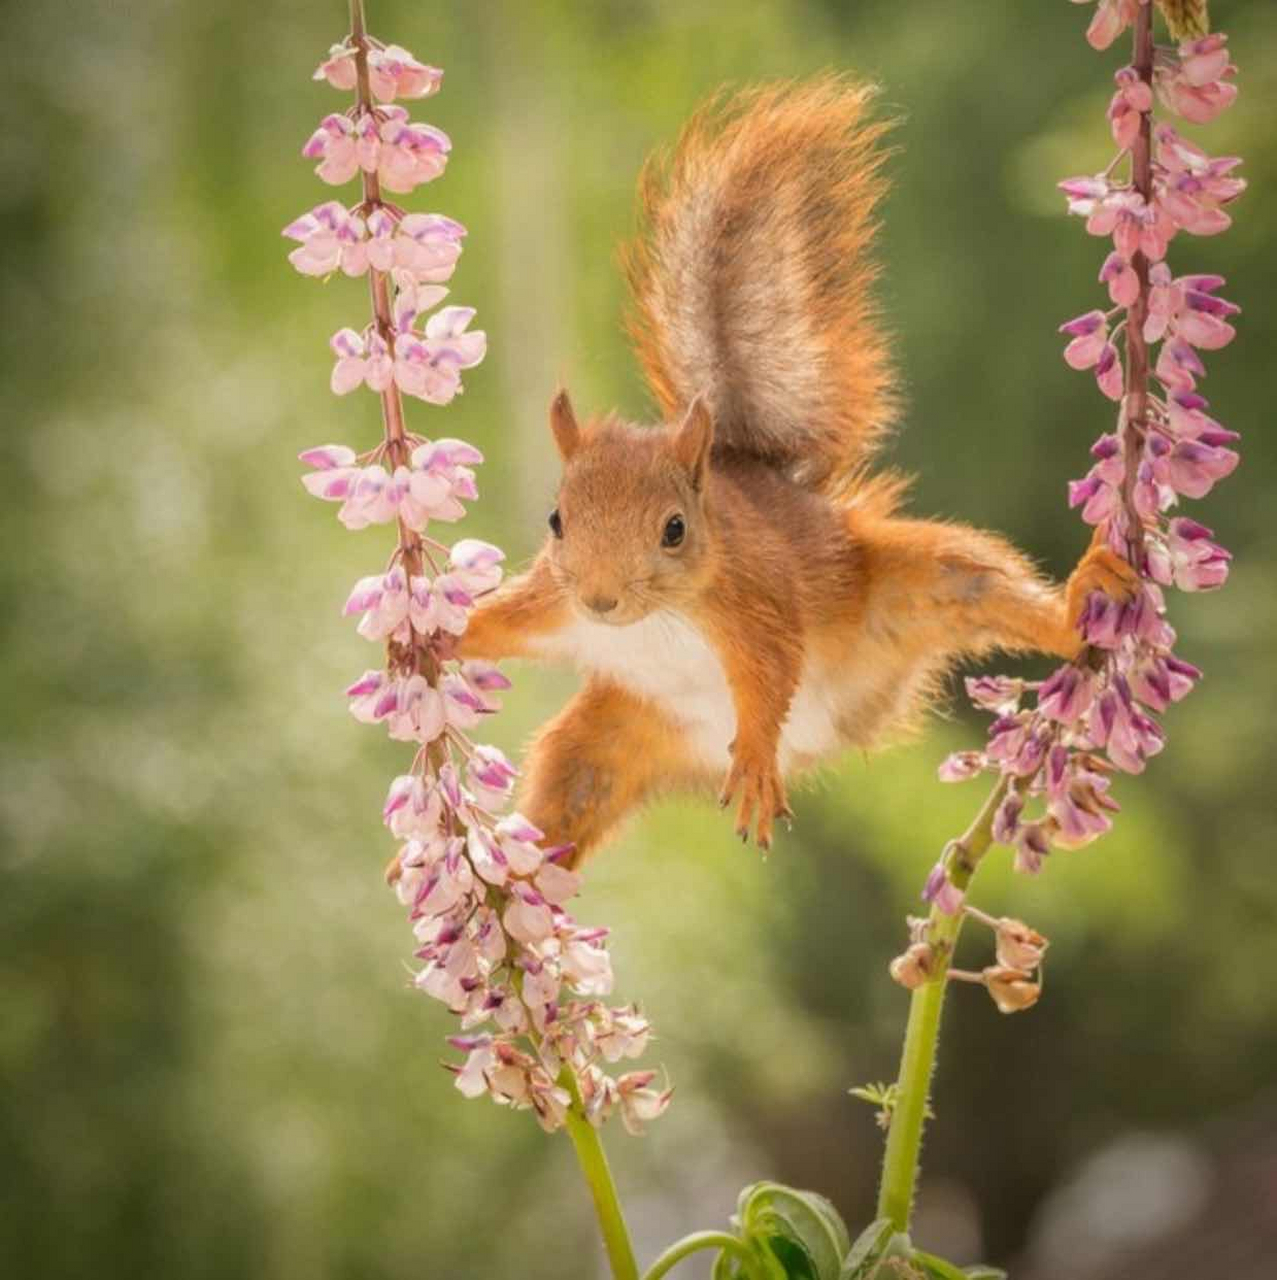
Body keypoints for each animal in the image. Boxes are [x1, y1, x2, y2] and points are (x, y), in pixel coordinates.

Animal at [455, 74, 1136, 865]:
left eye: (675, 530)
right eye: (556, 521)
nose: (600, 600)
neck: (656, 621)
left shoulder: (754, 600)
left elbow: (772, 668)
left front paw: (754, 757)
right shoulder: (550, 603)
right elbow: (494, 621)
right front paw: (423, 639)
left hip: (920, 585)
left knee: (993, 593)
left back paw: (1080, 603)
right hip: (612, 733)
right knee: (571, 787)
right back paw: (510, 880)